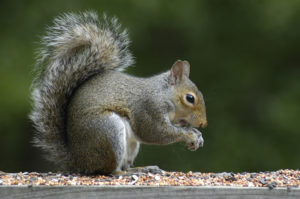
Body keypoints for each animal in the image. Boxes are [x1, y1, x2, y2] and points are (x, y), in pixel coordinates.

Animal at [30, 11, 207, 175]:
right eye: (190, 98)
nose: (203, 124)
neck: (164, 94)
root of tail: (77, 161)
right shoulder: (149, 108)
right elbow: (156, 132)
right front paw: (189, 135)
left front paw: (197, 134)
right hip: (108, 131)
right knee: (110, 170)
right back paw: (129, 172)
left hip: (130, 145)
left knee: (124, 165)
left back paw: (144, 168)